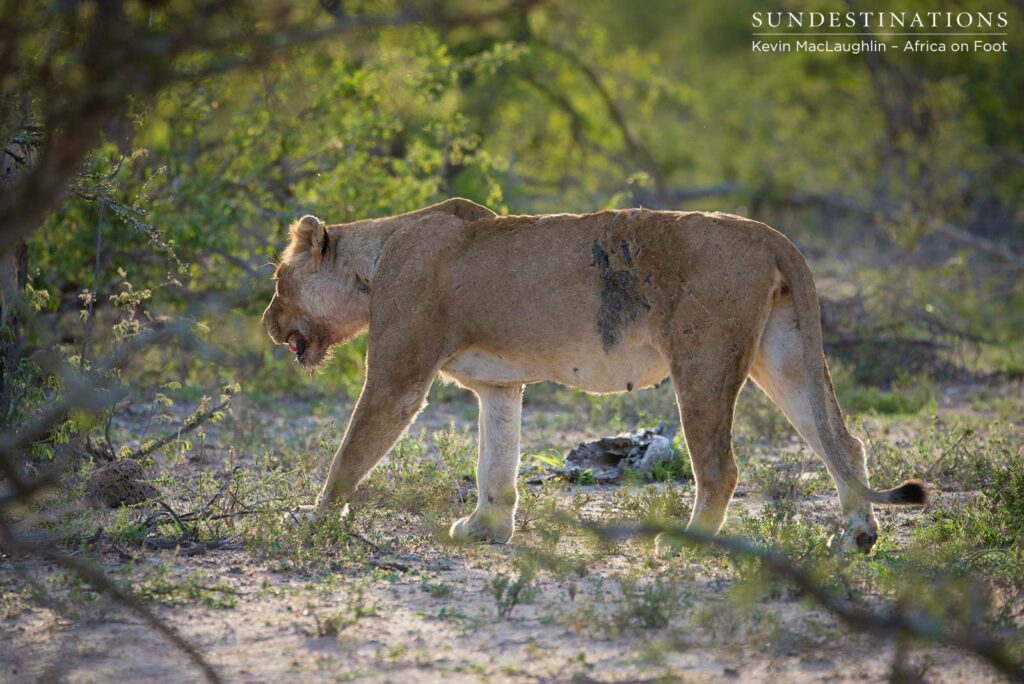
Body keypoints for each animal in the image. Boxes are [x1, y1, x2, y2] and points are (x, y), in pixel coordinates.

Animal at [262, 198, 928, 554]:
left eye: (278, 280)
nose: (268, 325)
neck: (376, 260)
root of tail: (767, 233)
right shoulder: (500, 386)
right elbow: (495, 463)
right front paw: (486, 528)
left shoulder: (398, 378)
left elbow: (350, 452)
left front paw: (313, 518)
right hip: (784, 356)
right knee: (844, 442)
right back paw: (857, 537)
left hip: (703, 362)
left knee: (721, 467)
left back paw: (684, 542)